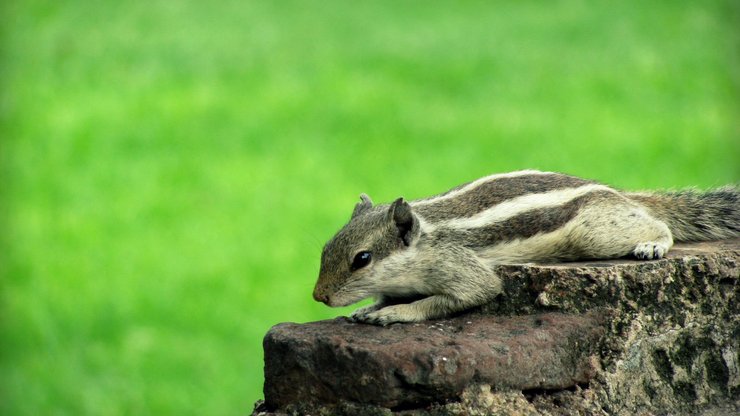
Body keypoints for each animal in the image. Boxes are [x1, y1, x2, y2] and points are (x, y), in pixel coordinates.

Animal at [312, 169, 740, 324]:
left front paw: (396, 314)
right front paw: (370, 308)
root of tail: (616, 193)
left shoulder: (460, 267)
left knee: (659, 224)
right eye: (325, 247)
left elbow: (469, 293)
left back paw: (653, 243)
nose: (319, 297)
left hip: (597, 233)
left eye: (362, 259)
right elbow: (386, 296)